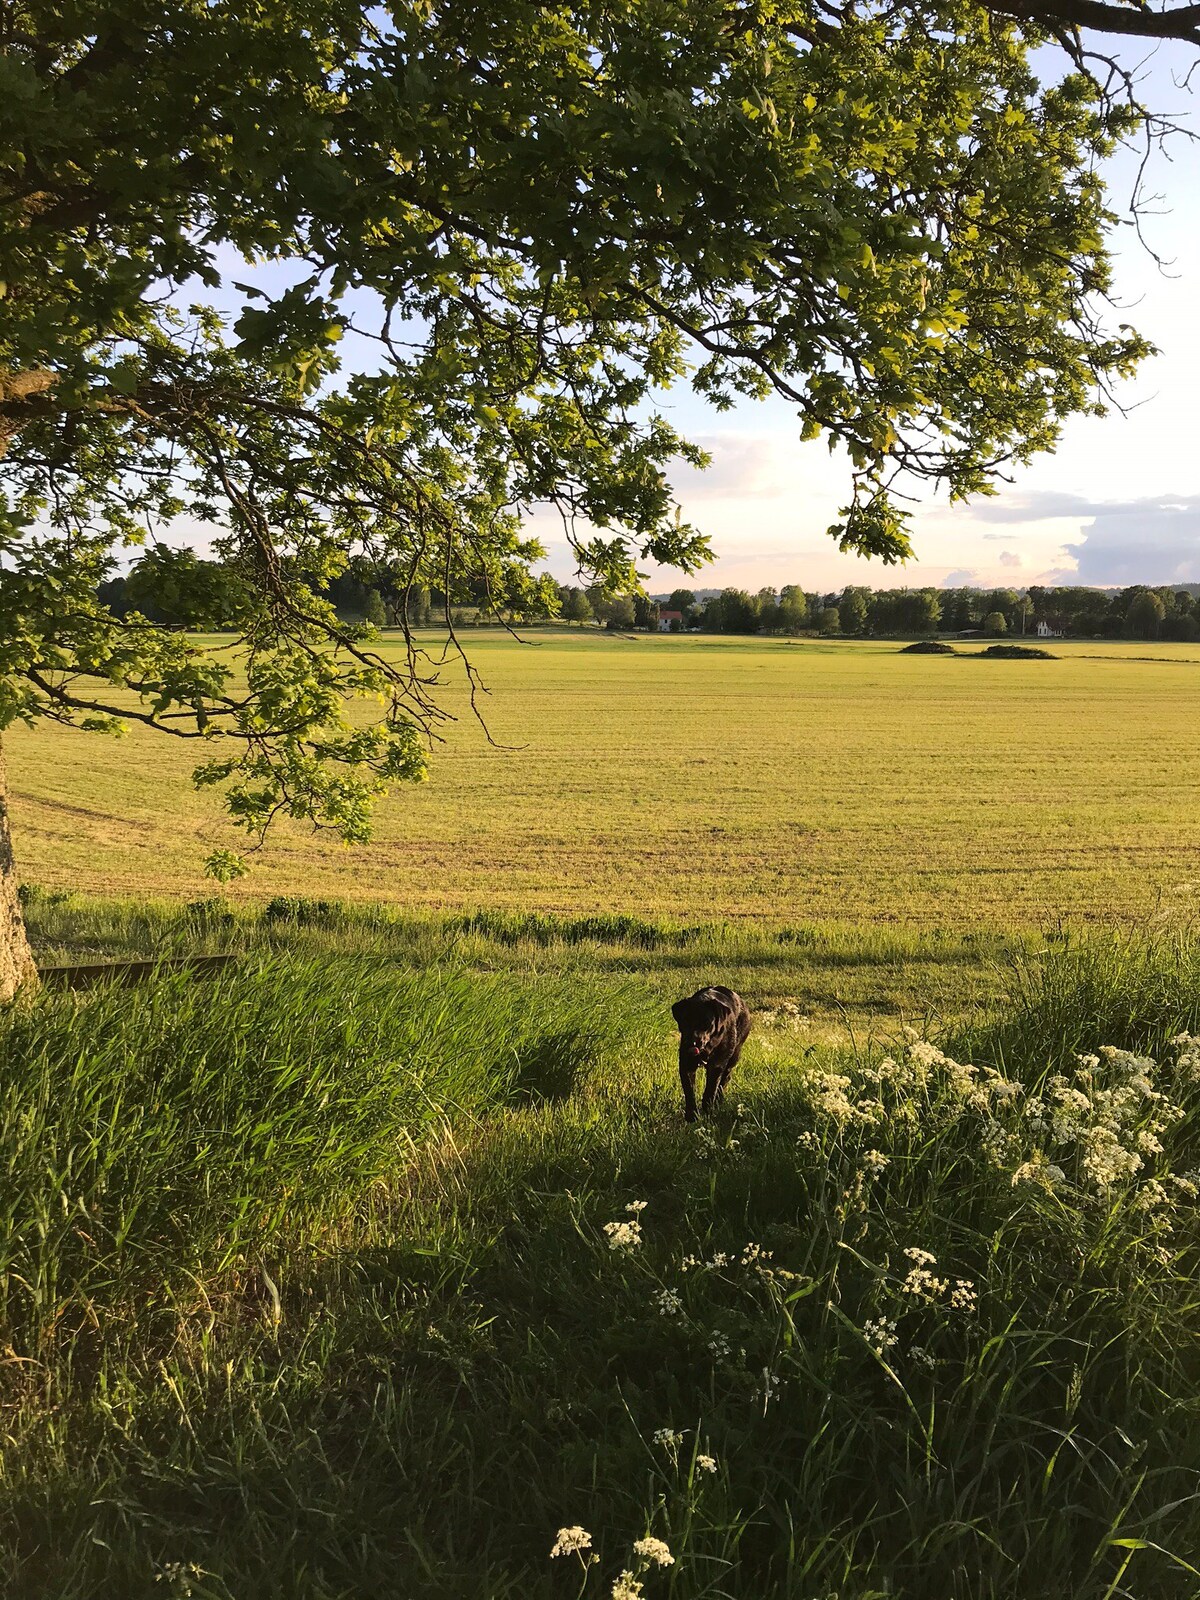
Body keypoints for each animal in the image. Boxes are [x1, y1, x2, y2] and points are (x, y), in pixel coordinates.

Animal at [672, 985, 748, 1126]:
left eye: (707, 1022)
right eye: (685, 1021)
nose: (693, 1042)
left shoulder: (716, 1066)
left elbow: (710, 1089)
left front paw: (708, 1111)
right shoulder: (686, 1064)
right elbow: (689, 1091)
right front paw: (692, 1116)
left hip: (734, 1056)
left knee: (725, 1079)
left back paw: (718, 1101)